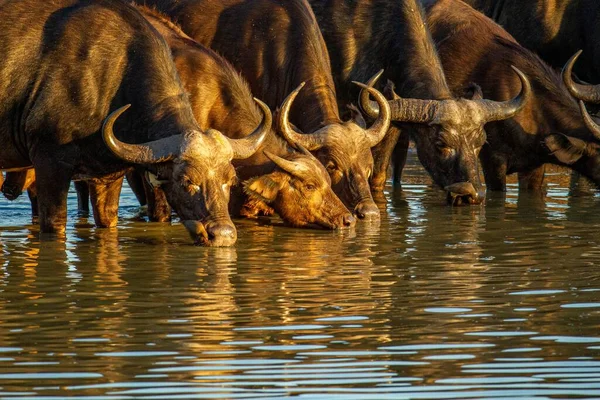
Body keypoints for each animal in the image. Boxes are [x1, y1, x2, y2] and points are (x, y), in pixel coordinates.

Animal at [0, 0, 268, 245]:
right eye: (186, 181)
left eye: (230, 180)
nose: (223, 235)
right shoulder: (50, 162)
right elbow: (55, 224)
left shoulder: (107, 175)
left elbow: (107, 220)